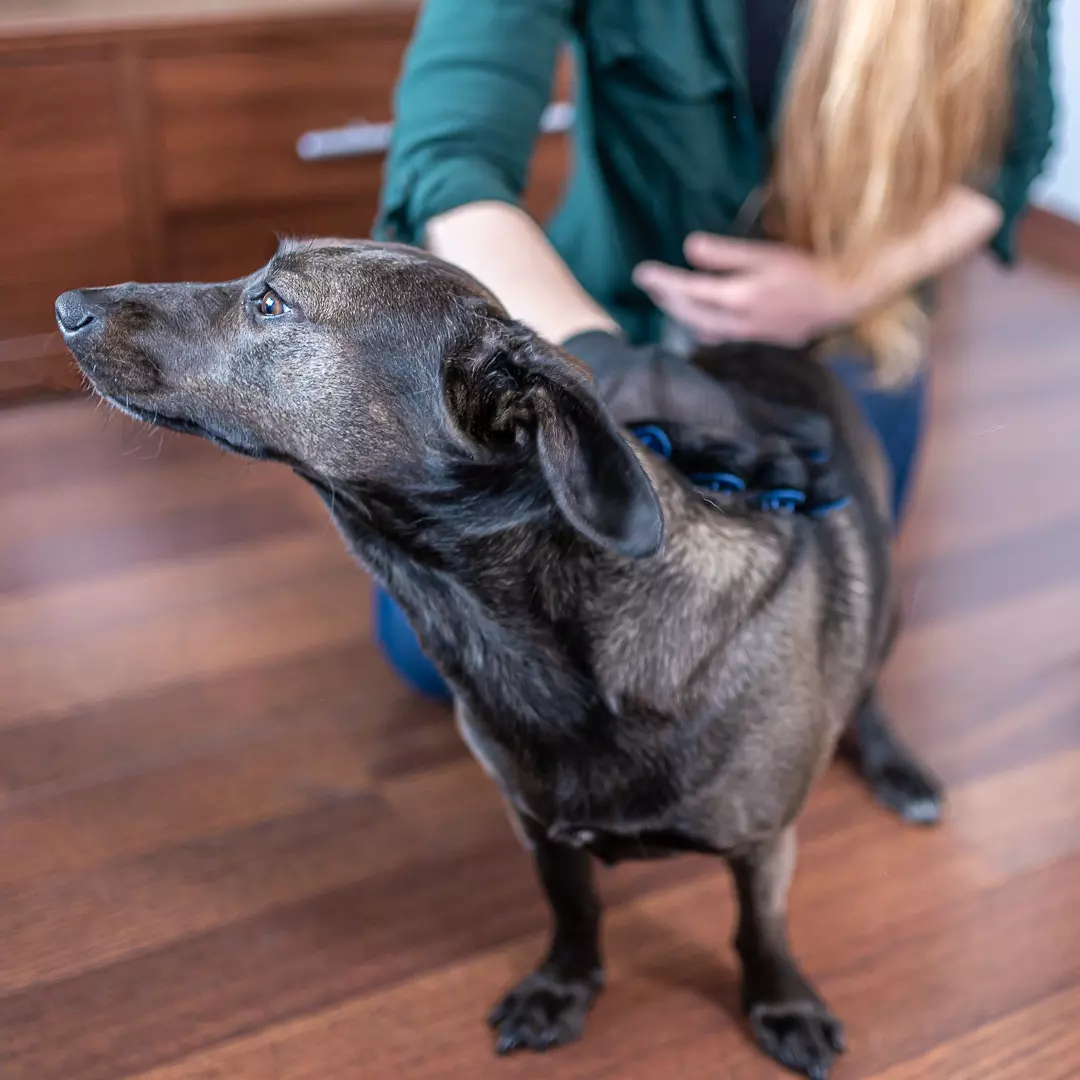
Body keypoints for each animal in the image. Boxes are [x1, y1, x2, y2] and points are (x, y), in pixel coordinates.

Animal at [54, 238, 941, 1080]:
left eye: (270, 303)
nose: (65, 306)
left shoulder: (762, 842)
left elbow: (762, 929)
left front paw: (781, 1003)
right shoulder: (539, 827)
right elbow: (575, 913)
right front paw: (564, 987)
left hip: (888, 603)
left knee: (870, 682)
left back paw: (897, 766)